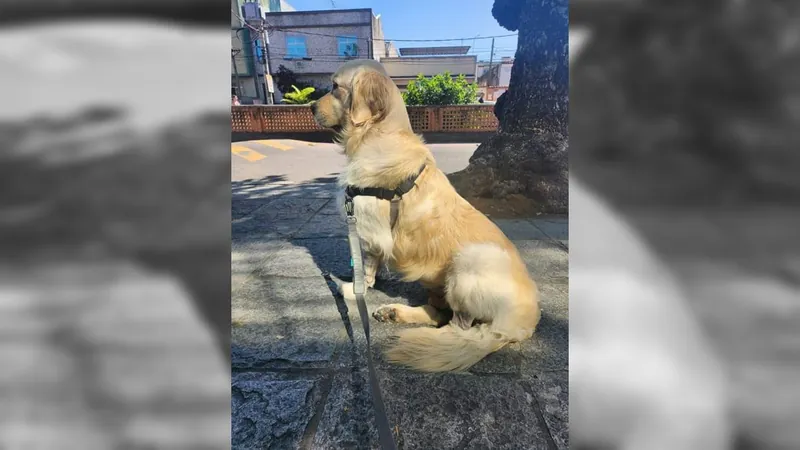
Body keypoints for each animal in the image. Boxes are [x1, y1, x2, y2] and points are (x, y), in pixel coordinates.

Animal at [310, 59, 540, 374]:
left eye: (335, 86)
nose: (310, 106)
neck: (376, 133)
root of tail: (522, 324)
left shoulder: (367, 228)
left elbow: (365, 271)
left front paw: (351, 289)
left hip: (470, 261)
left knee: (457, 327)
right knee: (438, 314)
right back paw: (394, 313)